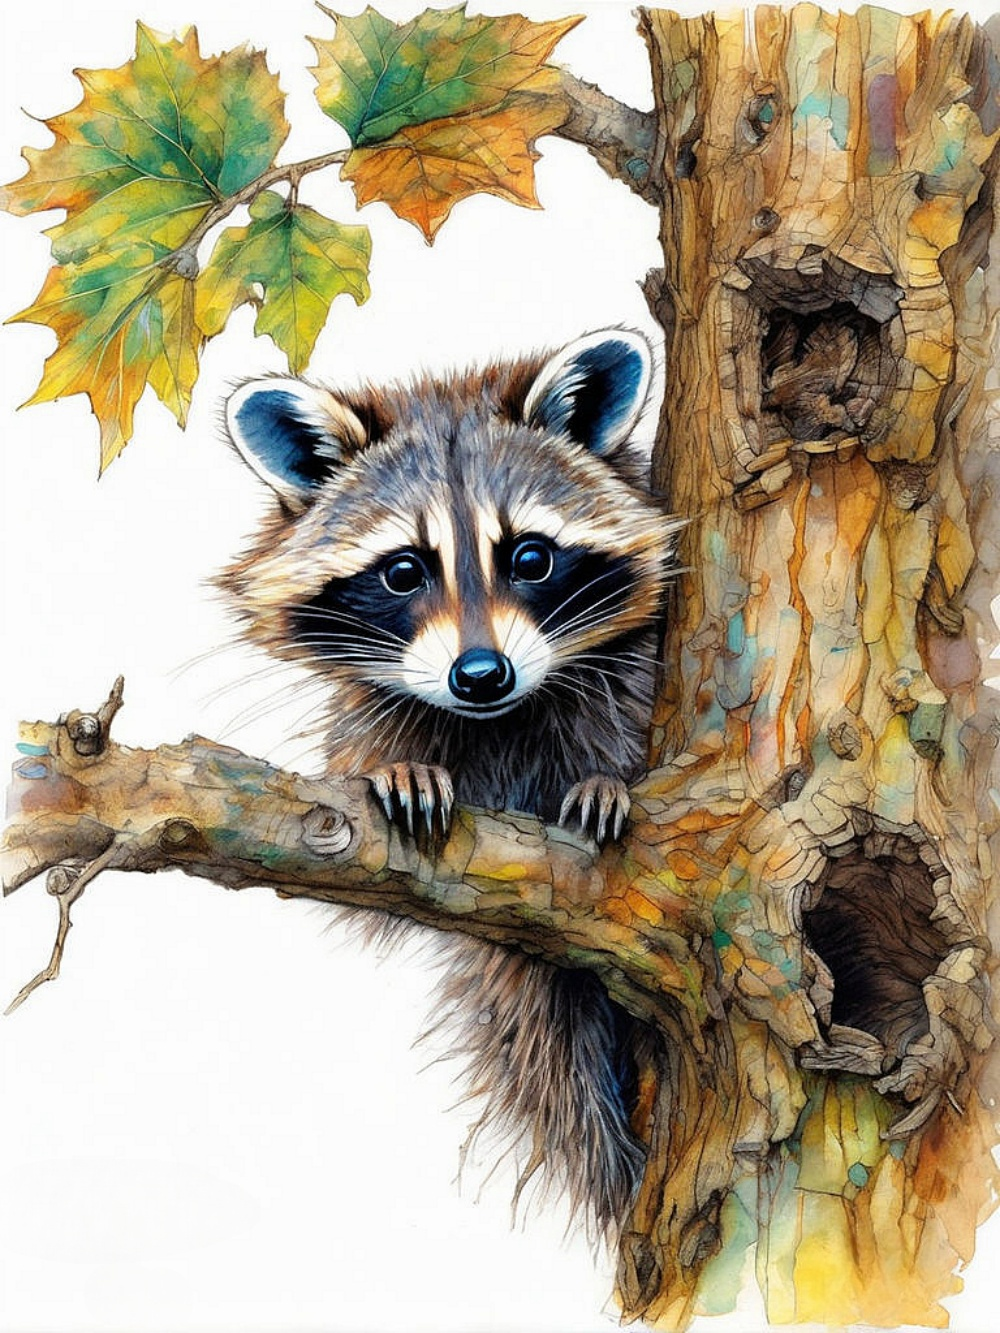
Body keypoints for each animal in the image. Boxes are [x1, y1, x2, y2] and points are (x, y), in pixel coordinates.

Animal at [221, 330, 678, 1231]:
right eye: (403, 571)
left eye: (531, 556)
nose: (480, 673)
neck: (499, 717)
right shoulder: (377, 707)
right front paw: (401, 768)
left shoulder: (633, 672)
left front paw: (607, 781)